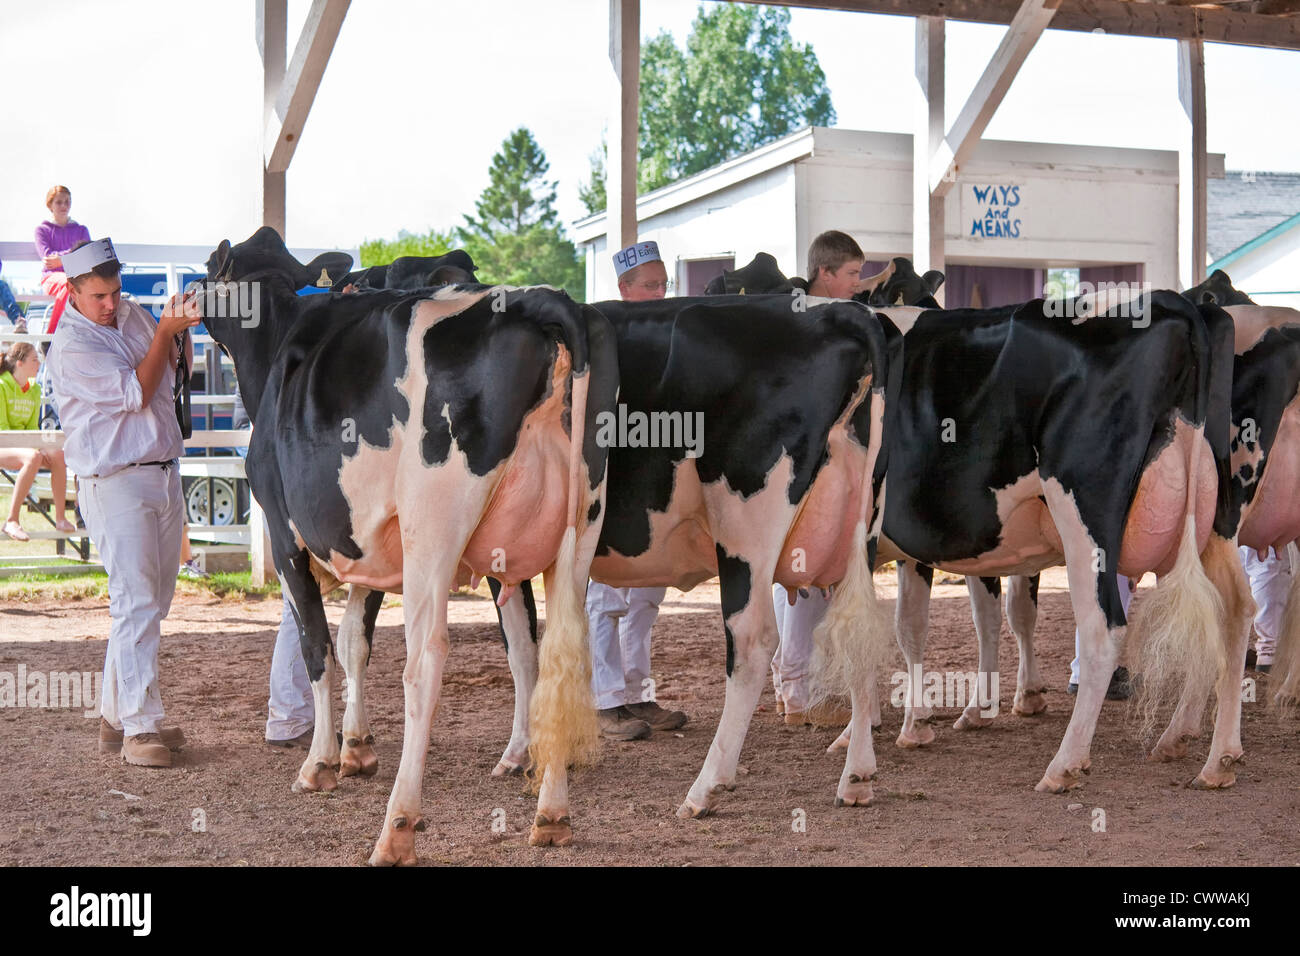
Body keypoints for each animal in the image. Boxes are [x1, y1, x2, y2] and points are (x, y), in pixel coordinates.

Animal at [197, 226, 618, 868]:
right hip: (577, 531)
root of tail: (541, 301)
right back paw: (551, 816)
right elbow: (355, 640)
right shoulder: (371, 545)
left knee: (426, 663)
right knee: (558, 655)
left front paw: (321, 762)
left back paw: (397, 827)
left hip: (434, 532)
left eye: (205, 271)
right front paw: (357, 747)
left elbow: (318, 646)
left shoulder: (284, 531)